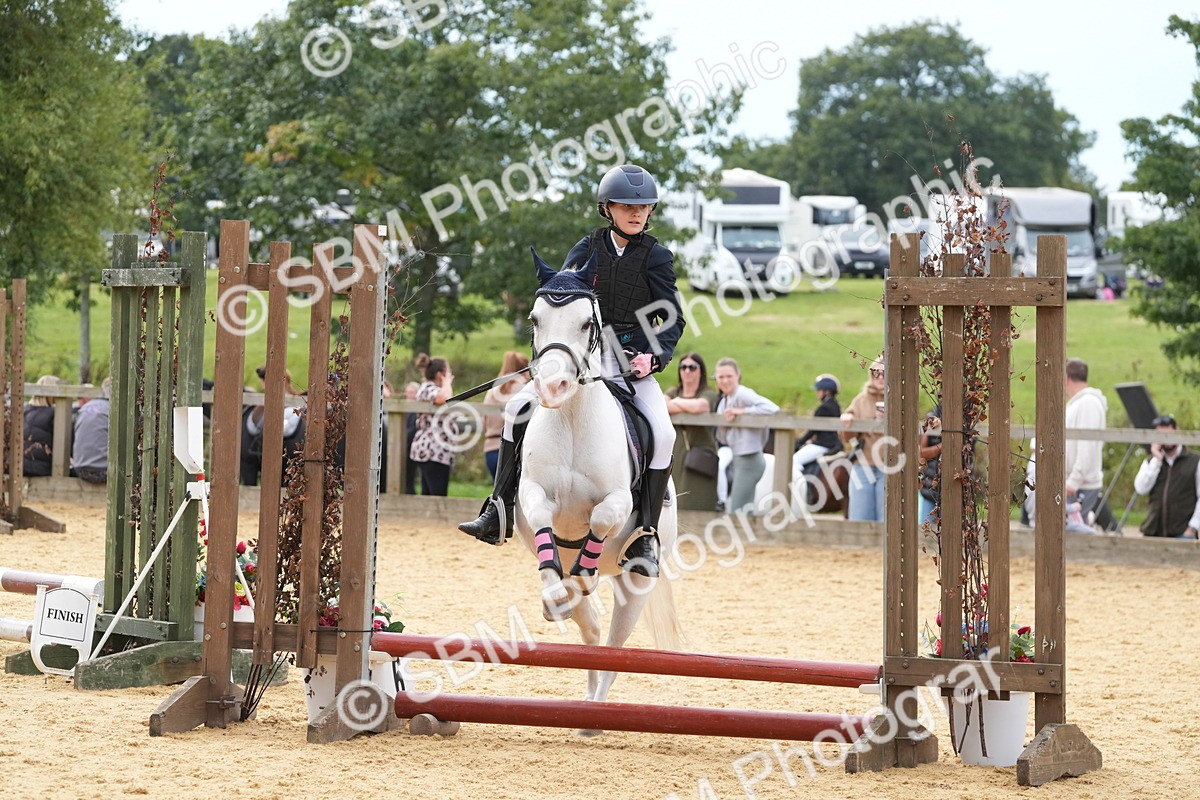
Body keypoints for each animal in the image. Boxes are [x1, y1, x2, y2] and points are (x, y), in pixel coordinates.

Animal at [515, 248, 682, 720]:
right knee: (588, 629)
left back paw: (596, 711)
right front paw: (556, 589)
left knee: (612, 645)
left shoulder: (618, 500)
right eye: (534, 319)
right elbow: (541, 517)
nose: (553, 386)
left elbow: (604, 515)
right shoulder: (532, 491)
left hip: (636, 583)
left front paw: (581, 573)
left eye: (587, 324)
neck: (572, 415)